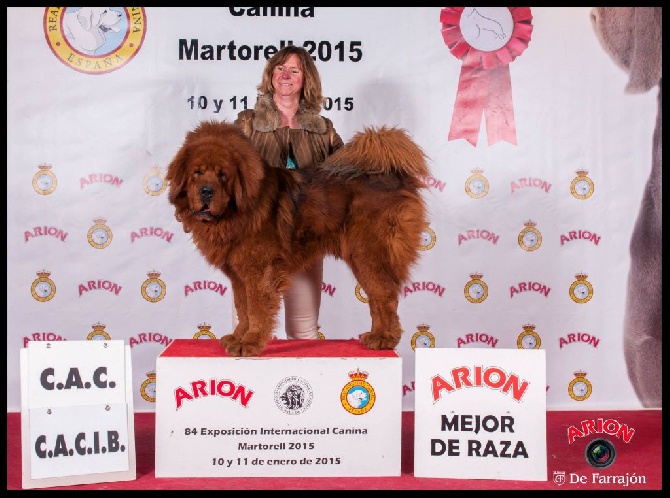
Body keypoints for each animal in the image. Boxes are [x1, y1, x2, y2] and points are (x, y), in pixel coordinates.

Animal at [168, 119, 430, 356]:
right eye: (196, 173)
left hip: (368, 255)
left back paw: (385, 339)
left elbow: (256, 310)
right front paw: (238, 337)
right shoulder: (240, 274)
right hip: (362, 259)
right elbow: (243, 309)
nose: (206, 191)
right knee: (377, 298)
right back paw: (376, 336)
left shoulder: (259, 271)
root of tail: (394, 175)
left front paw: (249, 342)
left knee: (385, 297)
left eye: (223, 175)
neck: (234, 215)